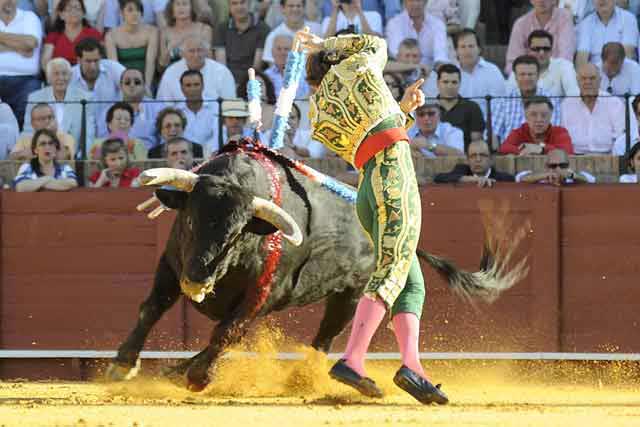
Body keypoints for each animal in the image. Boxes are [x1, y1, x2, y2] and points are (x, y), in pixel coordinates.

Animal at [106, 141, 524, 394]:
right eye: (190, 220)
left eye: (239, 233)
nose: (196, 280)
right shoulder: (171, 264)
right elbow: (152, 308)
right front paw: (123, 364)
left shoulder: (262, 294)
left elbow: (226, 333)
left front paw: (197, 377)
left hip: (350, 294)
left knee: (324, 338)